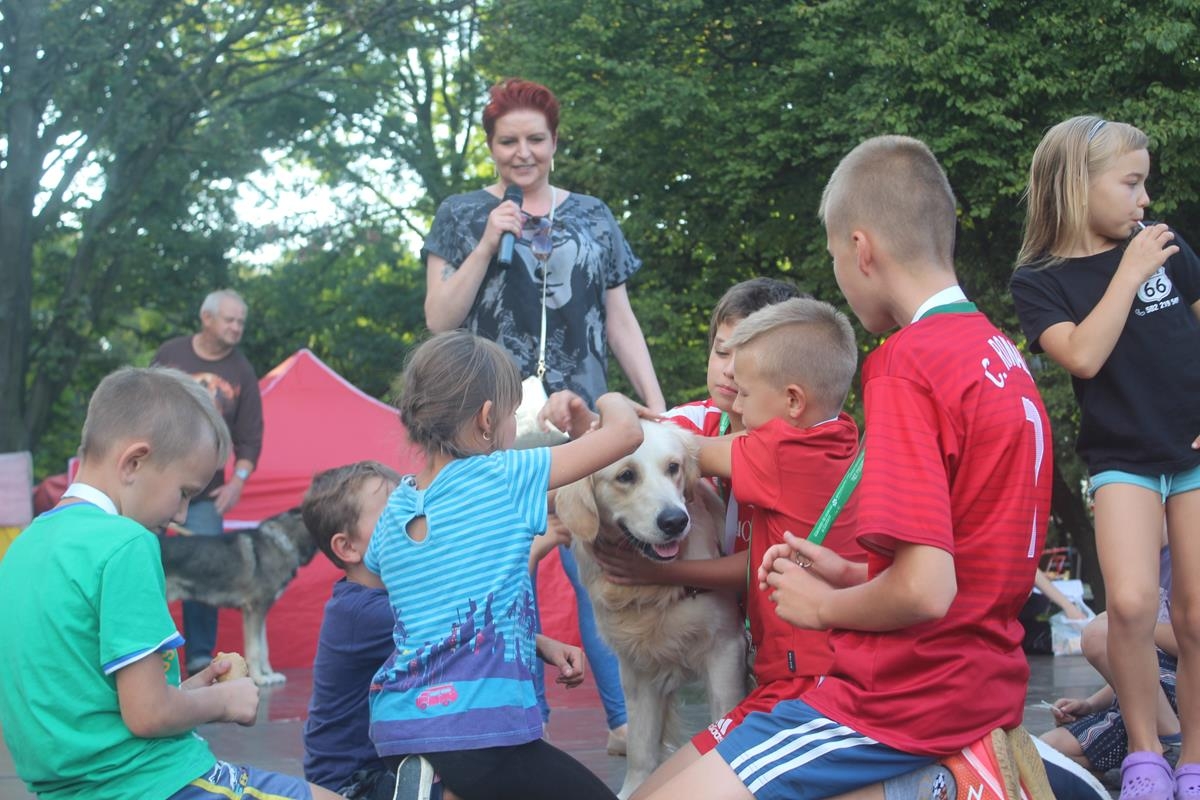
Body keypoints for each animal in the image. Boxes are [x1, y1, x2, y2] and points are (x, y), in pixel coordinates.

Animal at [160, 508, 316, 686]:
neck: (282, 541)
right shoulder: (254, 609)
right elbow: (255, 649)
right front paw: (259, 678)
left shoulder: (259, 612)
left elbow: (264, 648)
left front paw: (269, 674)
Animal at [556, 420, 747, 799]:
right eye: (626, 475)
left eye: (673, 467)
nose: (675, 521)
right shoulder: (636, 668)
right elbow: (641, 748)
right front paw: (633, 789)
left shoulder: (726, 650)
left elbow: (724, 717)